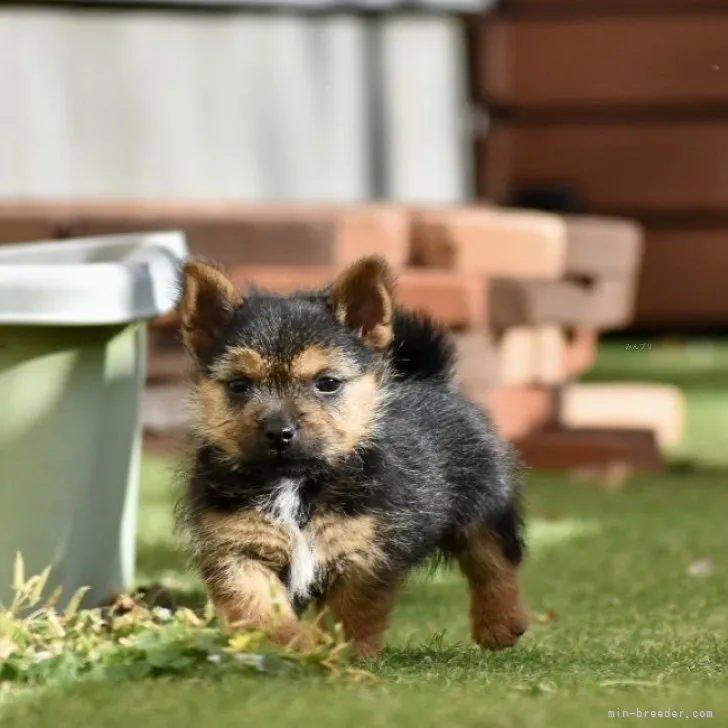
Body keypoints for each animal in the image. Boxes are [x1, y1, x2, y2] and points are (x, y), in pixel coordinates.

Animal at [176, 256, 528, 660]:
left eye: (327, 383)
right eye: (238, 385)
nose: (279, 432)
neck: (295, 483)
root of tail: (431, 379)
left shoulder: (361, 555)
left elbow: (349, 613)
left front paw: (343, 656)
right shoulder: (238, 551)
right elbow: (259, 606)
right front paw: (289, 648)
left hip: (484, 503)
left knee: (493, 560)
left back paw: (500, 623)